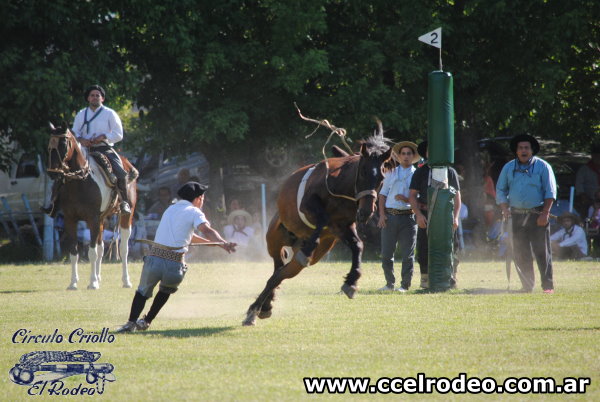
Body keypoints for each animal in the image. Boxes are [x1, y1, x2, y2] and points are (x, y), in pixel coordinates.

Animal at [46, 122, 136, 288]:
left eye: (64, 145)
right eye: (49, 145)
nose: (53, 173)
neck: (80, 182)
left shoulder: (92, 219)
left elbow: (91, 252)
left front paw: (92, 283)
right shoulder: (70, 220)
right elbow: (74, 252)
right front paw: (73, 283)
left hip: (127, 216)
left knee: (123, 248)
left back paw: (126, 281)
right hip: (102, 219)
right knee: (101, 248)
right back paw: (99, 277)